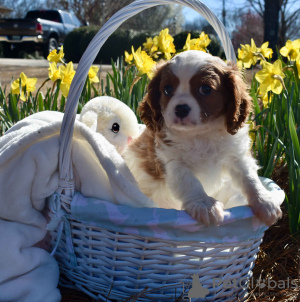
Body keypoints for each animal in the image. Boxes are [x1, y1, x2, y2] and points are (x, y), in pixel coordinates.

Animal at [122, 49, 282, 225]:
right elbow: (190, 183)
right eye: (167, 90)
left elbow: (249, 178)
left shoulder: (236, 156)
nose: (181, 109)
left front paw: (264, 201)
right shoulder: (173, 162)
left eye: (205, 89)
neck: (201, 133)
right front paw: (205, 205)